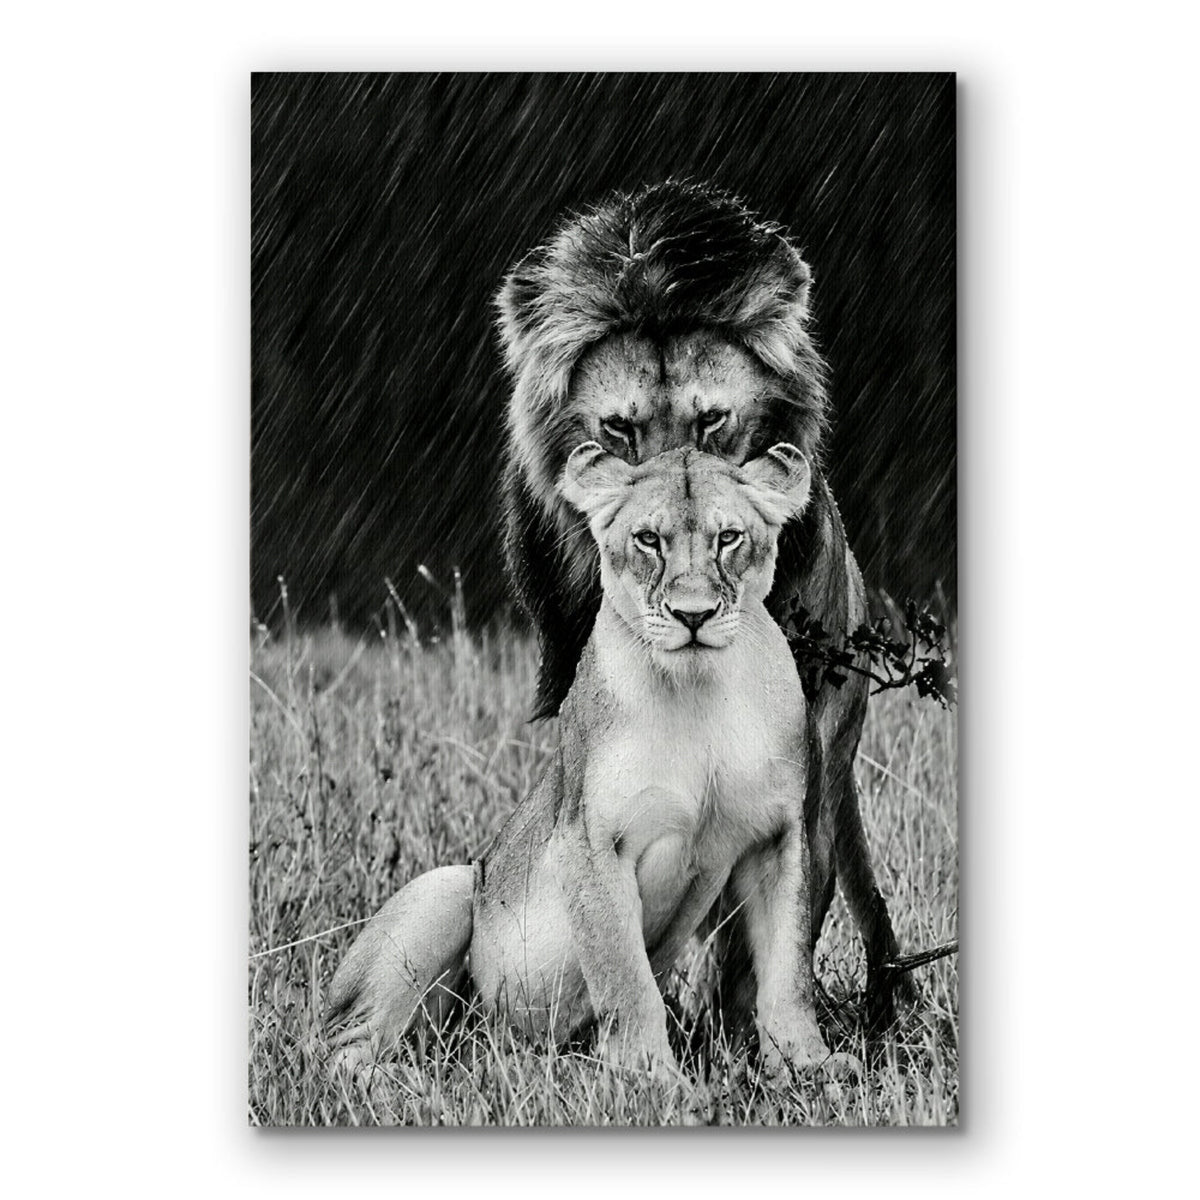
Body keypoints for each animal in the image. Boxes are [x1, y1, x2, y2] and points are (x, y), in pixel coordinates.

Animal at [327, 442, 846, 1079]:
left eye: (729, 537)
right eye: (648, 539)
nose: (693, 615)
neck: (699, 689)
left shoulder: (779, 837)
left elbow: (788, 968)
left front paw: (811, 1066)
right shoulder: (590, 838)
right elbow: (623, 973)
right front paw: (650, 1076)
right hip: (448, 888)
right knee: (344, 1046)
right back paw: (409, 1077)